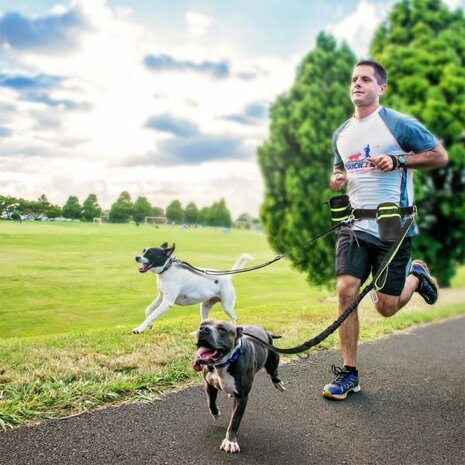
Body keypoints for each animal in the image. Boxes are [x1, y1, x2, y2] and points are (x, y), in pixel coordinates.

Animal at [191, 318, 284, 452]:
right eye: (202, 324)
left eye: (222, 329)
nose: (203, 329)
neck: (222, 364)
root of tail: (265, 331)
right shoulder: (209, 384)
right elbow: (211, 402)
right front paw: (215, 413)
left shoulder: (242, 397)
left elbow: (235, 420)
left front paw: (230, 441)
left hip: (272, 360)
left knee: (274, 372)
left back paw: (278, 383)